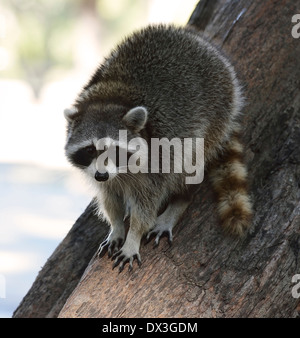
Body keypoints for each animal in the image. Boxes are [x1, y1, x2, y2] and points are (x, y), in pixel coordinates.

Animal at [64, 24, 252, 272]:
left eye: (115, 150)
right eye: (90, 150)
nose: (102, 175)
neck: (108, 100)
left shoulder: (158, 157)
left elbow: (147, 205)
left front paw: (133, 236)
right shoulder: (101, 173)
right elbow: (110, 198)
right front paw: (116, 226)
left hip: (216, 115)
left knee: (190, 164)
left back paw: (180, 200)